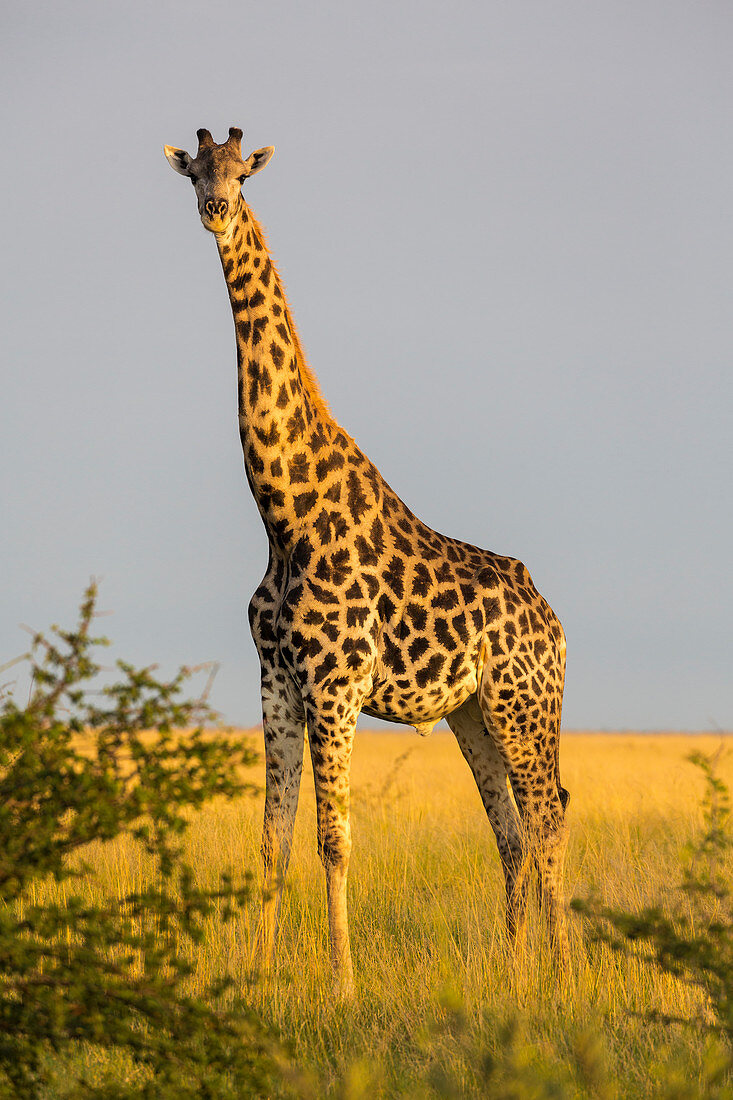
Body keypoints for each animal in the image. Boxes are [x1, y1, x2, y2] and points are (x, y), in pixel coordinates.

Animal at [162, 128, 567, 998]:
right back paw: (514, 974)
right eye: (194, 172)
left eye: (242, 176)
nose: (214, 209)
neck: (283, 516)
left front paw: (341, 985)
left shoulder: (336, 684)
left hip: (525, 703)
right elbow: (272, 839)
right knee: (512, 830)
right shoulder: (277, 681)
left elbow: (333, 840)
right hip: (473, 711)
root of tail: (552, 620)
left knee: (548, 813)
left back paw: (560, 975)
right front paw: (255, 976)